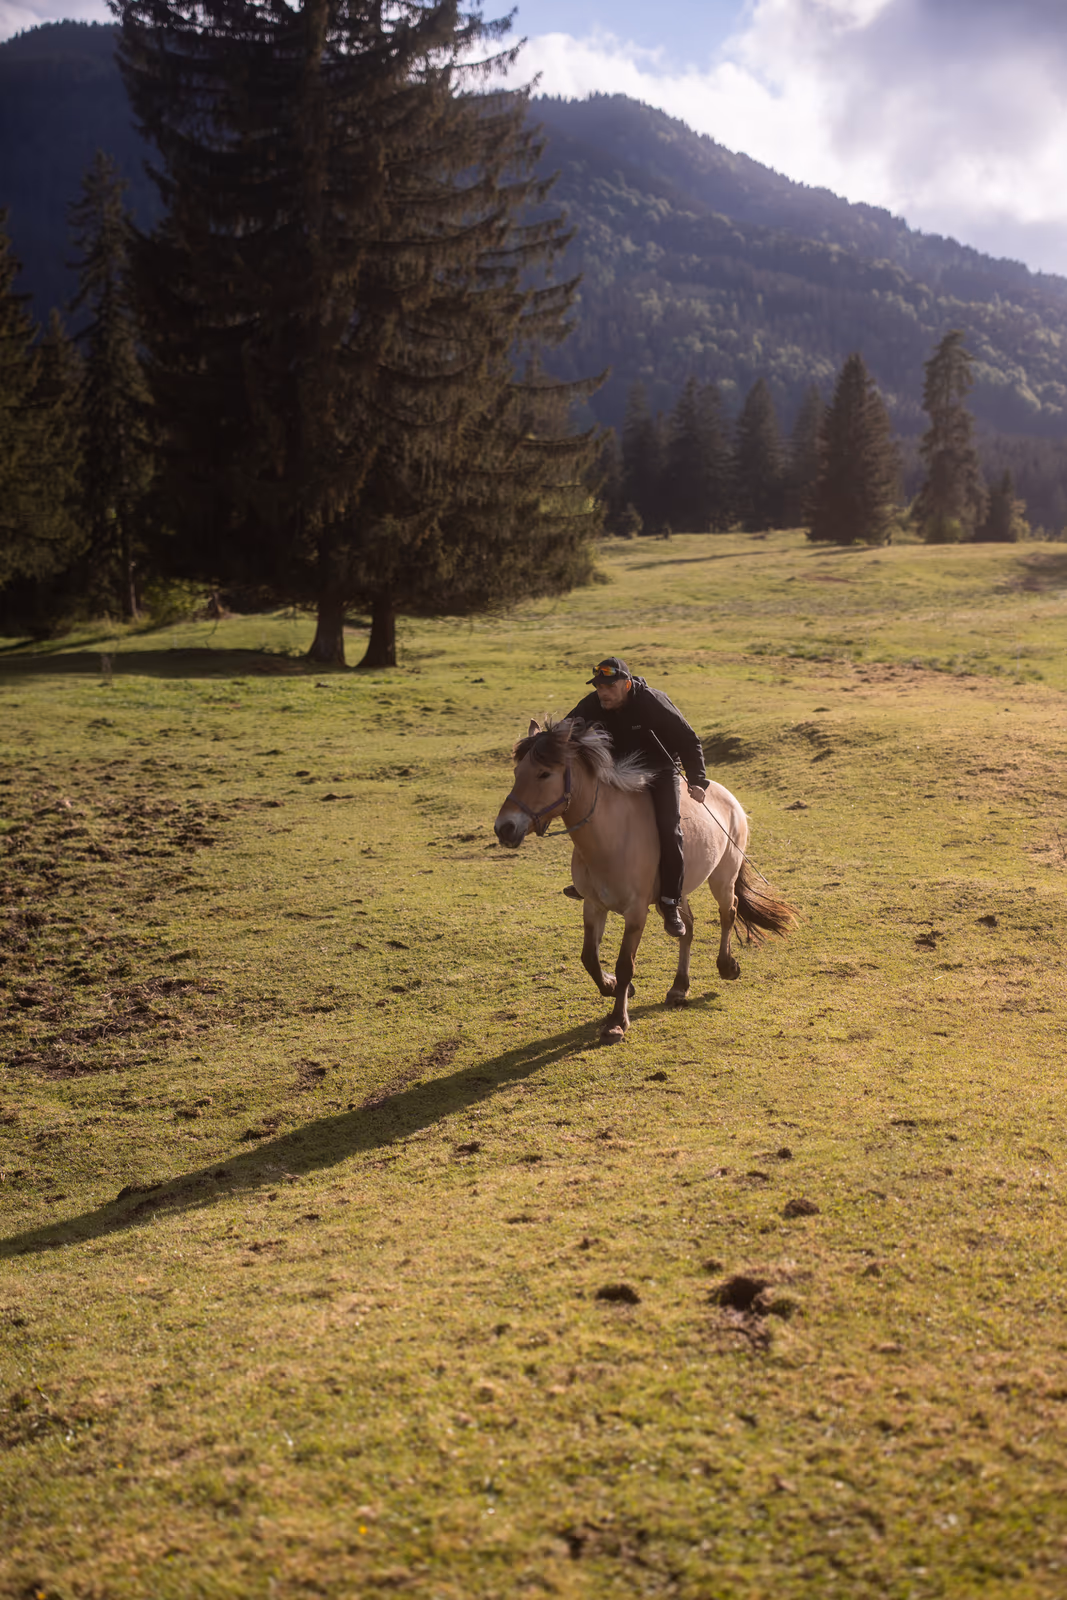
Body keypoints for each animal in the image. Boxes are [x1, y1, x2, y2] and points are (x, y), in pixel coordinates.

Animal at [493, 718, 797, 1044]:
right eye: (517, 774)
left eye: (544, 773)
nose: (504, 828)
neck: (610, 838)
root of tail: (726, 796)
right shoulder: (593, 906)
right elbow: (589, 957)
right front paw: (611, 986)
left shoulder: (636, 913)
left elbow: (625, 964)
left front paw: (617, 1021)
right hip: (678, 890)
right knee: (686, 927)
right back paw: (679, 986)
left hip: (723, 876)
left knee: (728, 912)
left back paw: (726, 966)